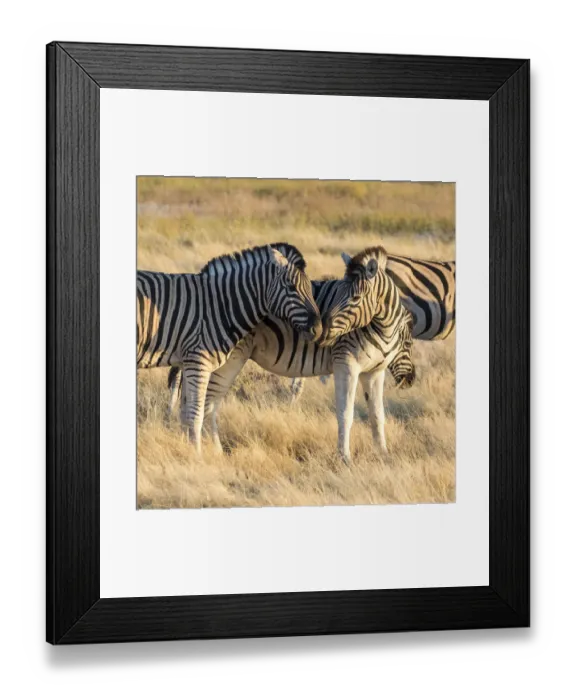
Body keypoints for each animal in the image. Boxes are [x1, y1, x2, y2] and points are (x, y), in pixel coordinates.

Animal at [137, 243, 322, 453]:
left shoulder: (188, 362)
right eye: (291, 287)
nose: (318, 329)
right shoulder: (197, 362)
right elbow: (195, 415)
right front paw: (198, 456)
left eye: (310, 289)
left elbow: (186, 413)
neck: (219, 306)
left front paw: (188, 451)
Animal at [168, 246, 415, 462]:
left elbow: (377, 416)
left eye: (409, 342)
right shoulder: (346, 364)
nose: (322, 330)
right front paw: (345, 458)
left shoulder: (374, 372)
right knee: (206, 403)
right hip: (226, 361)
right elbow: (346, 413)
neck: (380, 327)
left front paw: (383, 454)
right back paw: (213, 451)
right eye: (338, 295)